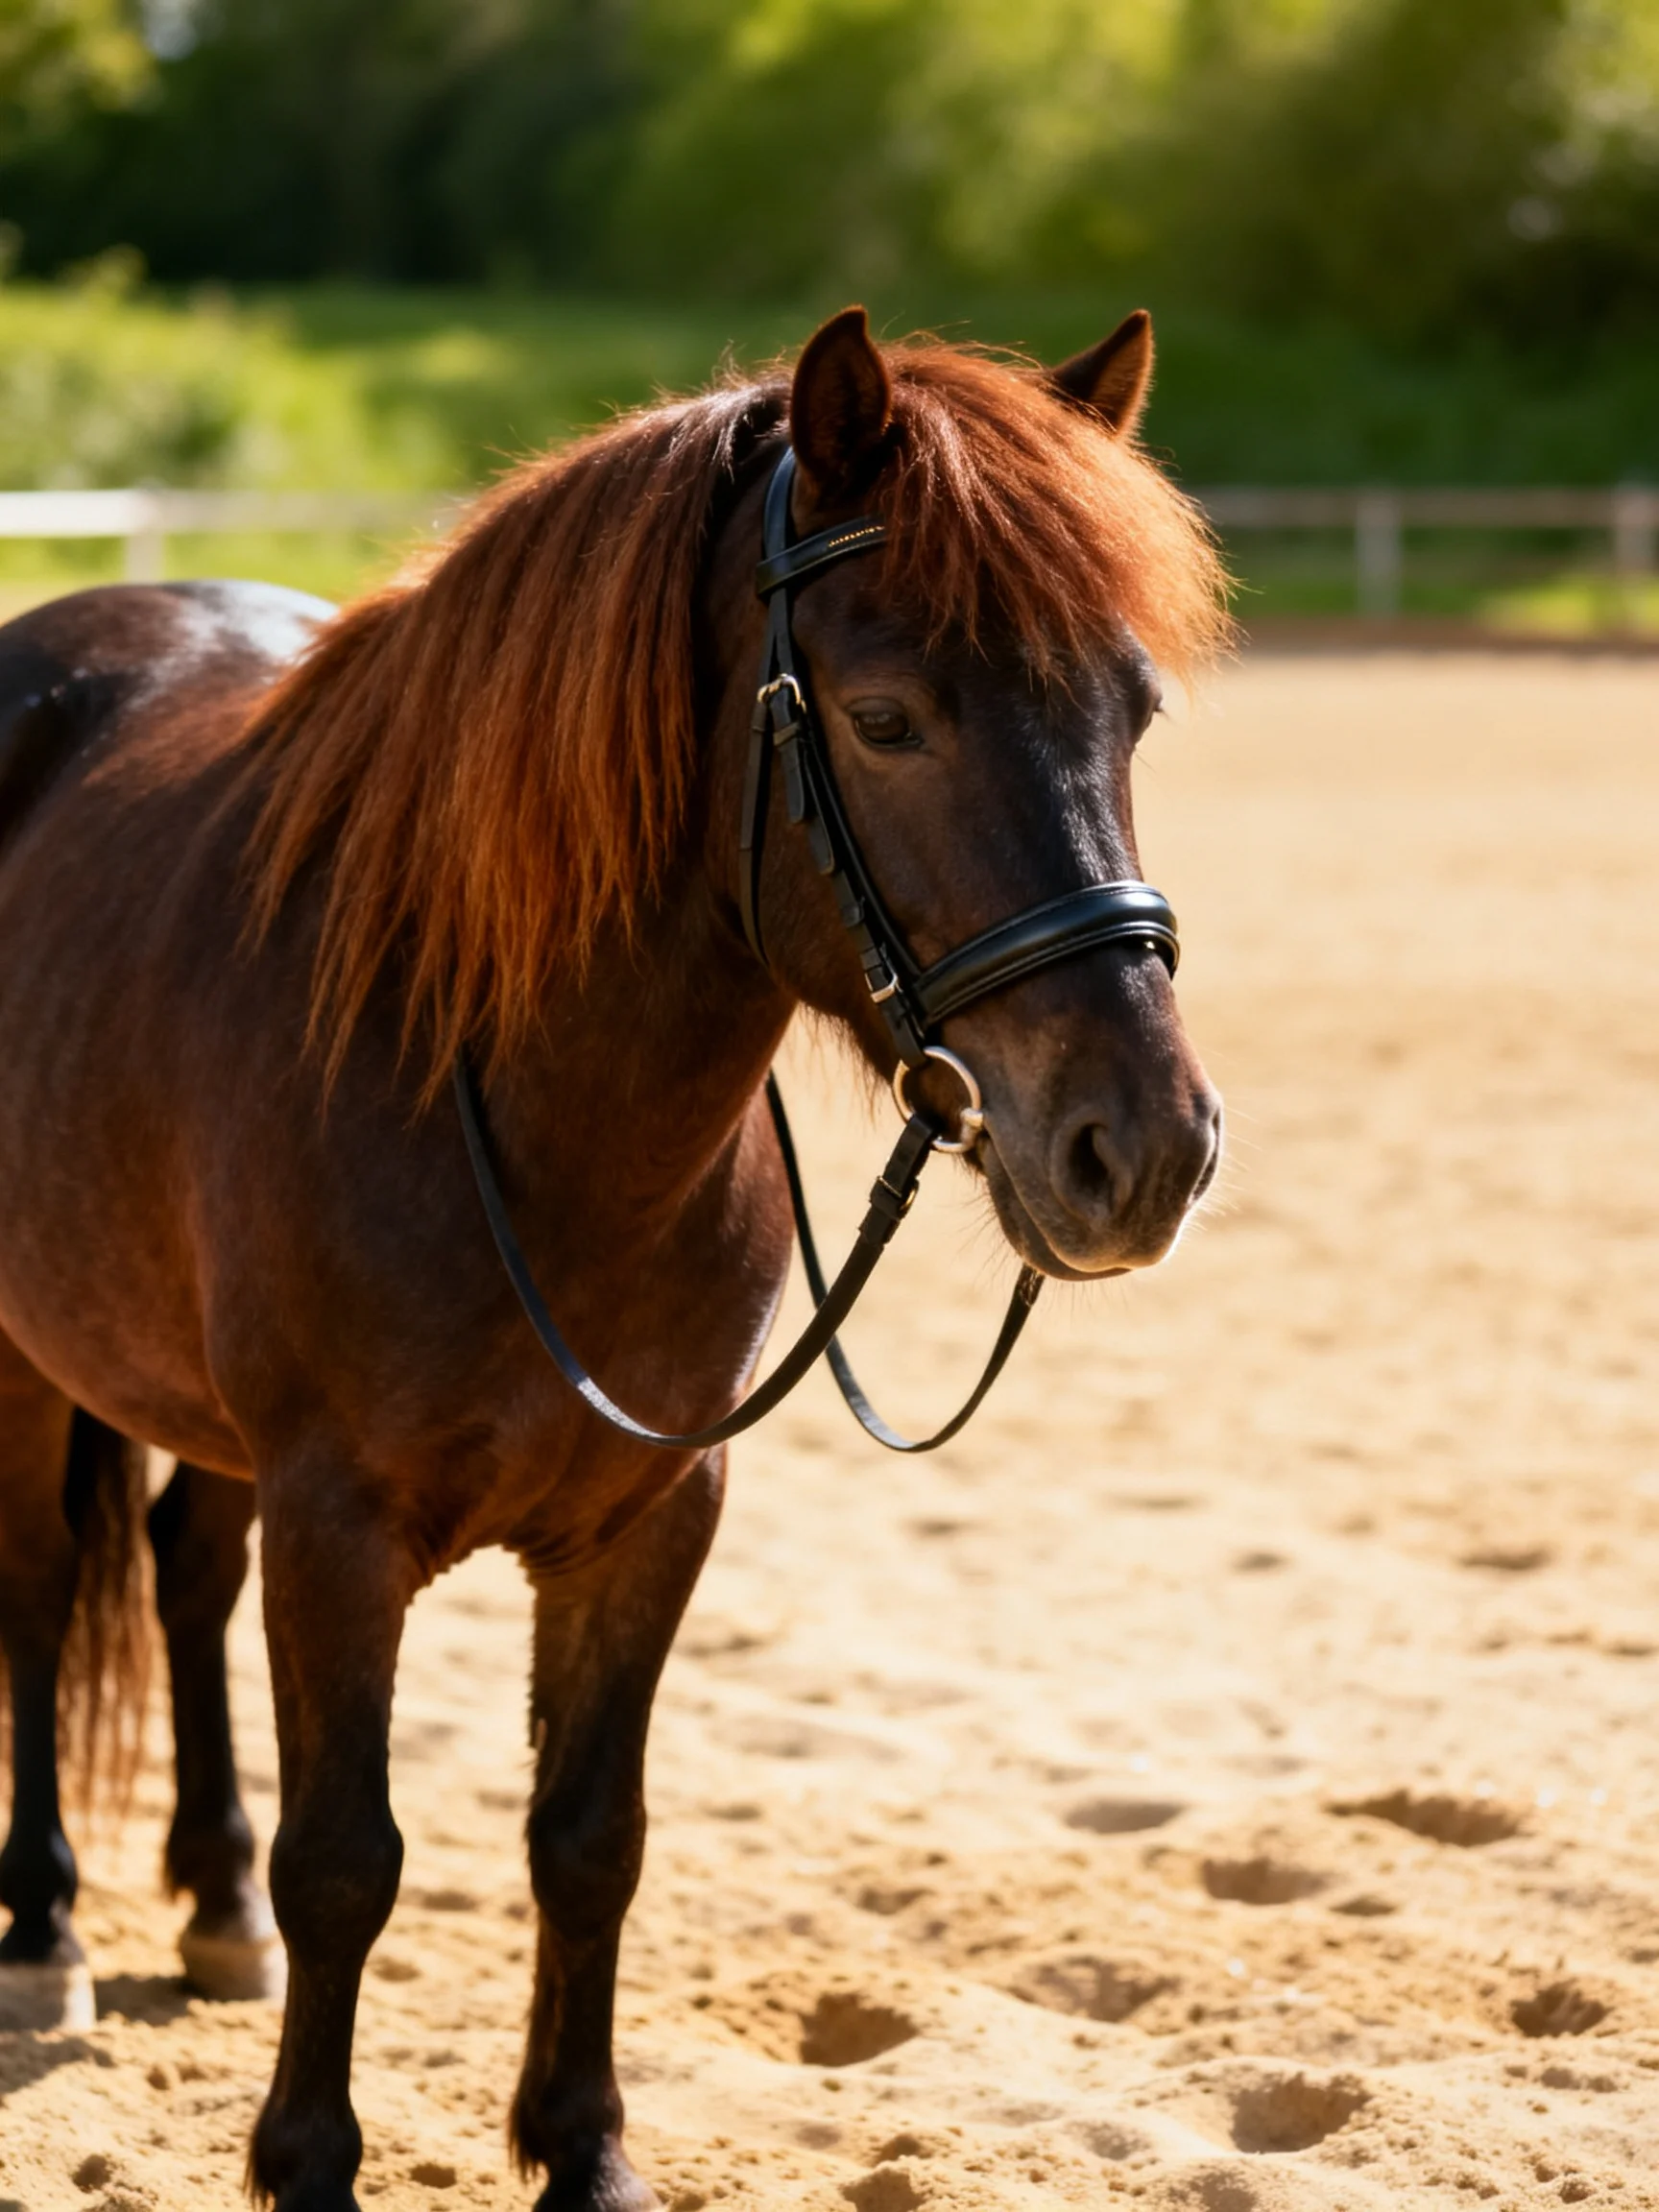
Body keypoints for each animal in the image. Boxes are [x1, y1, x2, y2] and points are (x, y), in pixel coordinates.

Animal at [0, 305, 1227, 2209]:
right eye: (886, 717)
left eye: (1134, 710)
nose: (1144, 1147)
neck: (524, 1106)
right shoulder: (340, 1525)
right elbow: (347, 1860)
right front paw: (309, 2155)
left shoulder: (652, 1517)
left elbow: (590, 1840)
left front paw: (582, 2151)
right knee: (45, 1587)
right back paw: (44, 1928)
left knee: (183, 1571)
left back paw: (208, 1905)